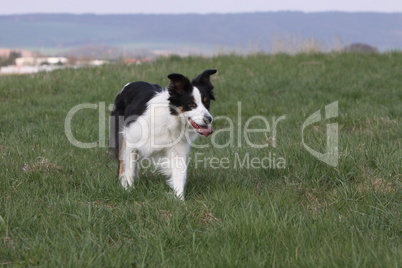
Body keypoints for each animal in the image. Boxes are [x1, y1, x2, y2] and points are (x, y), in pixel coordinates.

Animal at [109, 69, 217, 199]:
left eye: (207, 103)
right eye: (192, 104)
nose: (209, 119)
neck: (170, 120)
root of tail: (129, 84)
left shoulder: (177, 149)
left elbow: (179, 174)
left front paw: (179, 199)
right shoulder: (131, 139)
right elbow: (128, 167)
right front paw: (127, 190)